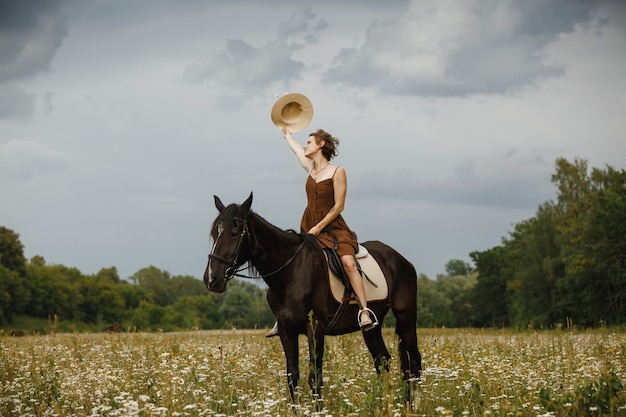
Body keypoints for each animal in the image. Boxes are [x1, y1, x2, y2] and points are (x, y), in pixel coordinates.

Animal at [204, 193, 420, 404]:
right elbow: (292, 377)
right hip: (372, 327)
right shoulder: (286, 331)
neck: (291, 271)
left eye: (234, 233)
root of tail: (401, 259)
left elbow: (315, 377)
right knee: (382, 360)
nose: (212, 279)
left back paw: (411, 405)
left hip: (406, 316)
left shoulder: (315, 327)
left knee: (413, 361)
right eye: (214, 233)